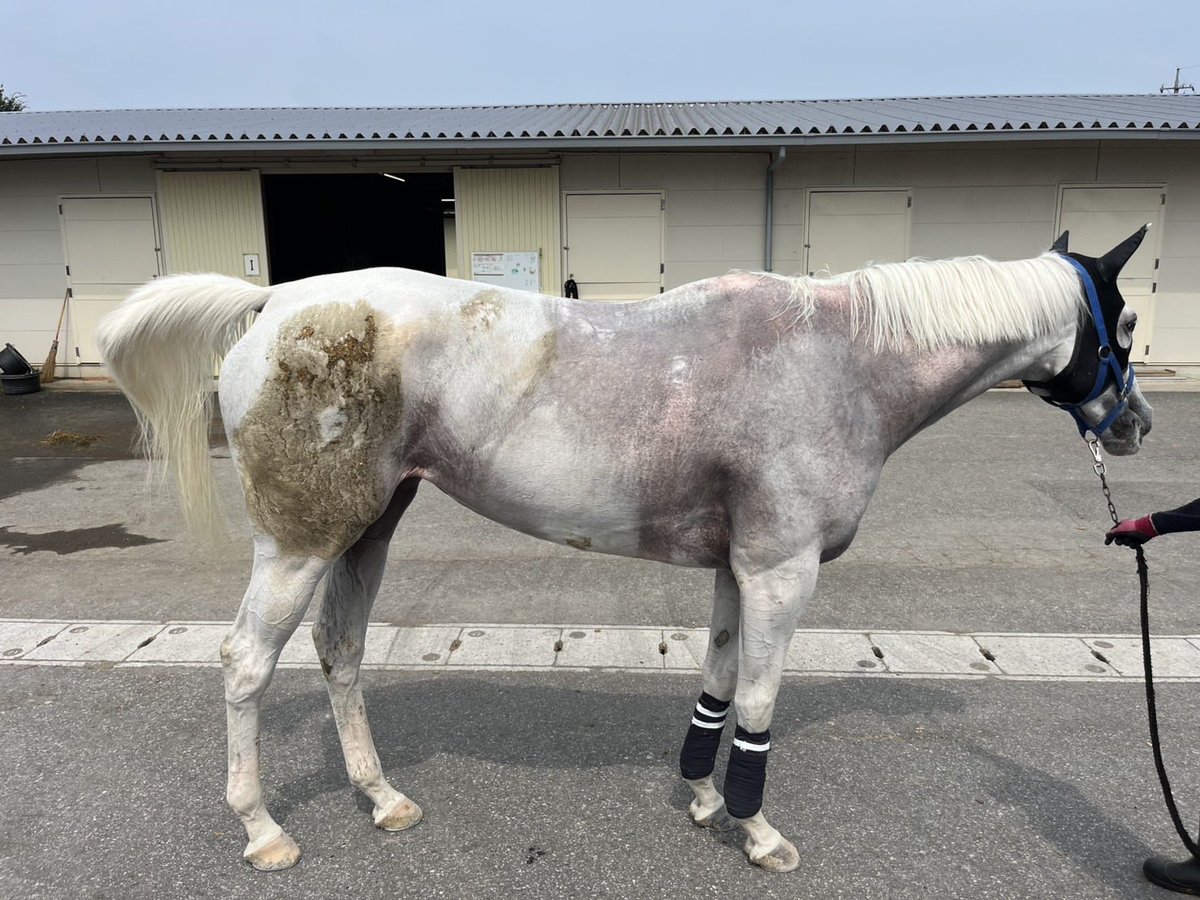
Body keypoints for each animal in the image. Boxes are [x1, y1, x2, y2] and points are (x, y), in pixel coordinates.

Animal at [96, 227, 1153, 873]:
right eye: (1128, 319)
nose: (1137, 424)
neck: (838, 358)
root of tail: (273, 302)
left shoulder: (736, 569)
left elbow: (719, 680)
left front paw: (702, 800)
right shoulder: (782, 571)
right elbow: (759, 701)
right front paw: (757, 830)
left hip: (370, 526)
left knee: (340, 650)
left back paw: (382, 798)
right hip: (302, 542)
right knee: (246, 661)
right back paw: (263, 829)